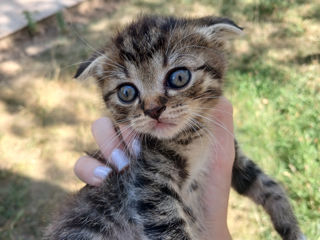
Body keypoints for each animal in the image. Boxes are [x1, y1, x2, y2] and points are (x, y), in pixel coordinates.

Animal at [43, 15, 304, 240]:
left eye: (179, 77)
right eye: (126, 92)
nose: (153, 110)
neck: (191, 137)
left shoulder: (233, 156)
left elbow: (267, 184)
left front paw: (292, 229)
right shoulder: (148, 182)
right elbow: (169, 228)